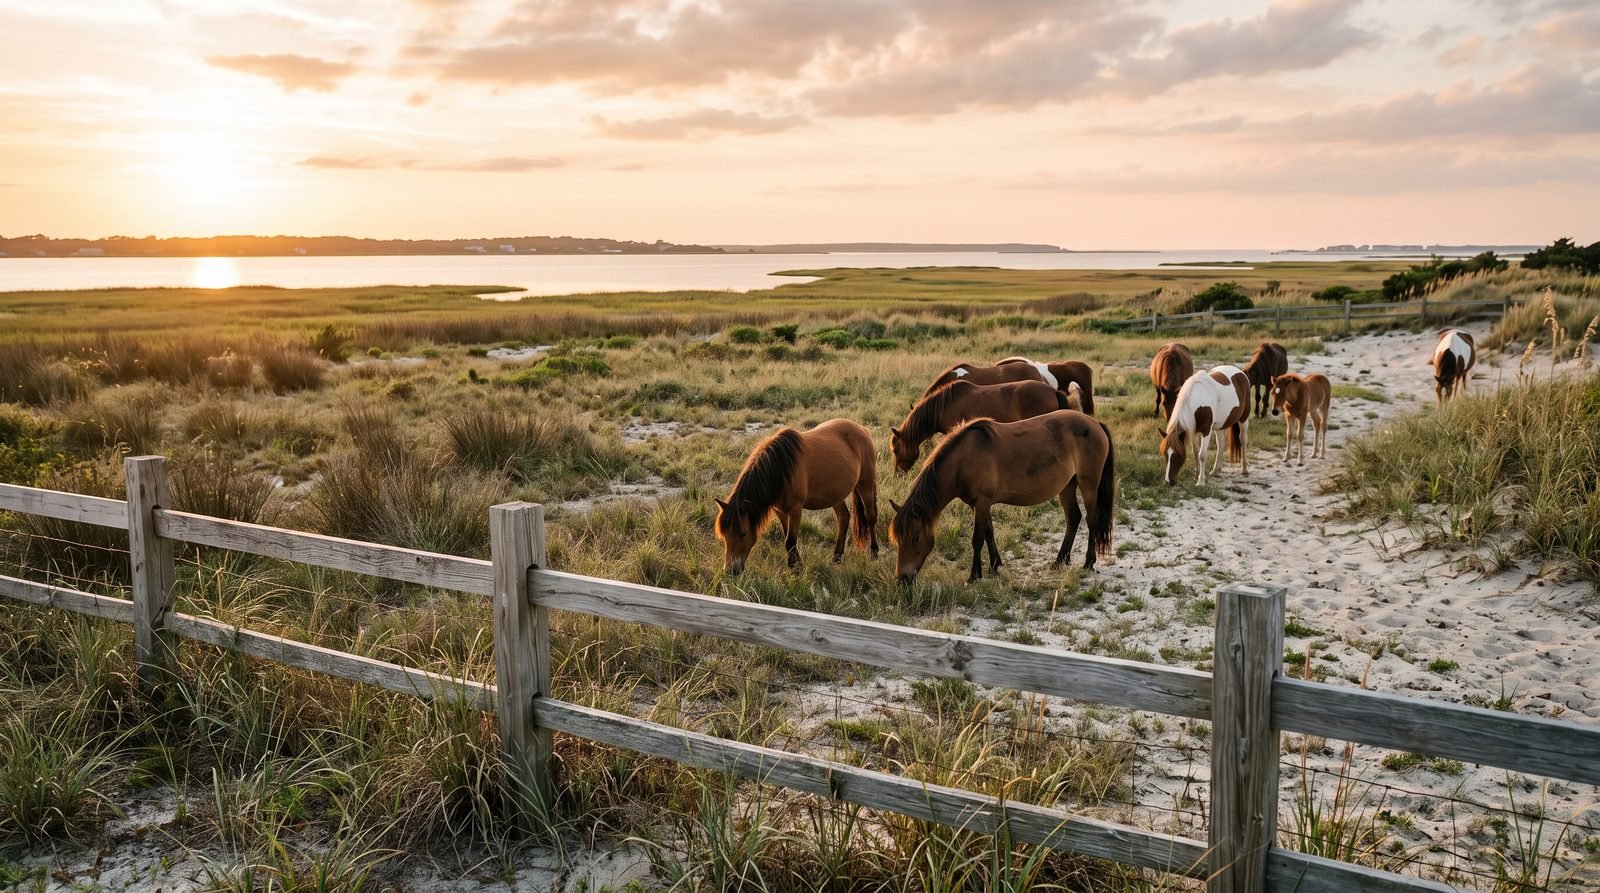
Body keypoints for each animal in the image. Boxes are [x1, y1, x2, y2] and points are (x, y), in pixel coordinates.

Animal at [714, 418, 878, 575]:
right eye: (724, 535)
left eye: (743, 534)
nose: (731, 571)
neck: (781, 469)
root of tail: (862, 429)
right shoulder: (779, 510)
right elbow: (787, 537)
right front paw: (796, 565)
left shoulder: (795, 509)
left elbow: (790, 540)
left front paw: (795, 569)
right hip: (835, 494)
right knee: (843, 518)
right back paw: (837, 557)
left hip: (865, 485)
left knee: (870, 516)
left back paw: (874, 552)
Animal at [888, 411, 1114, 584]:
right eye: (898, 539)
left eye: (915, 538)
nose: (902, 578)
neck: (962, 461)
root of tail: (1095, 423)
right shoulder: (979, 504)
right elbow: (989, 532)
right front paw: (994, 565)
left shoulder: (982, 503)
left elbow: (977, 538)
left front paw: (974, 575)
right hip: (1067, 486)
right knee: (1073, 518)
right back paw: (1060, 560)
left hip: (1088, 483)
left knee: (1091, 519)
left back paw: (1088, 561)